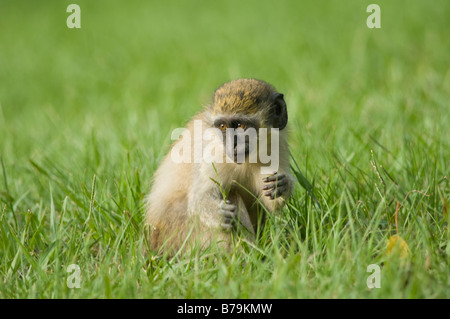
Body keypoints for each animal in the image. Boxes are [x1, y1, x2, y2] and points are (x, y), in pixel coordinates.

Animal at [143, 79, 292, 256]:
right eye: (222, 126)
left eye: (240, 125)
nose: (232, 145)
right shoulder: (213, 153)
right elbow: (199, 198)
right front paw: (219, 215)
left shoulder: (276, 146)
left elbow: (271, 202)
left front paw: (282, 185)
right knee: (231, 193)